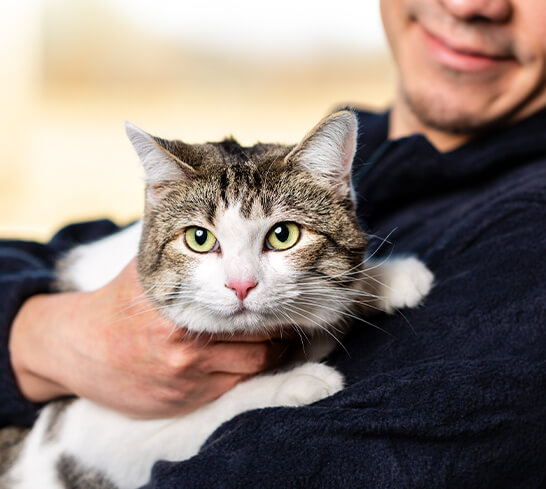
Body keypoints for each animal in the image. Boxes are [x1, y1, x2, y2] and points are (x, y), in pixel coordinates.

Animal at [1, 110, 434, 488]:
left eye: (283, 235)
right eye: (199, 238)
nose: (241, 284)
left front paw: (389, 277)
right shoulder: (82, 443)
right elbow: (206, 414)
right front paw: (297, 381)